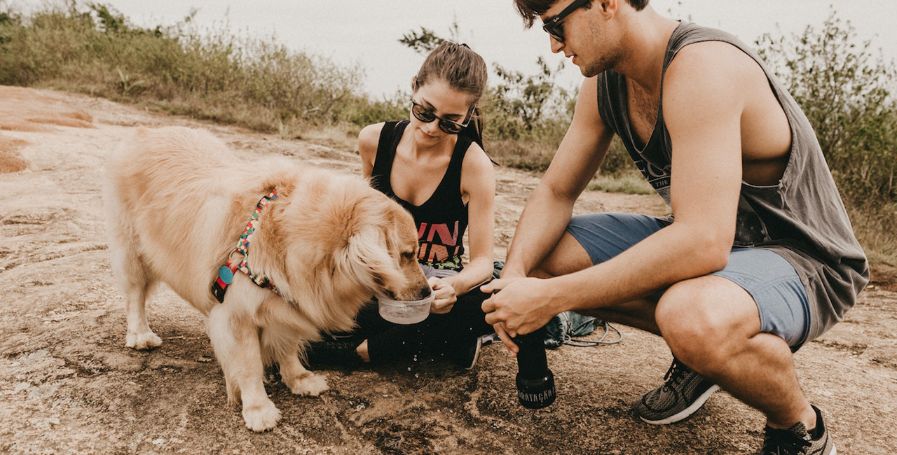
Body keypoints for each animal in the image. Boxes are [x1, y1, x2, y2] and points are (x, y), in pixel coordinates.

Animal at [105, 126, 428, 432]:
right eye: (407, 254)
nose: (427, 292)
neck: (287, 237)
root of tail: (145, 132)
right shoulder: (237, 316)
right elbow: (249, 366)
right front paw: (258, 408)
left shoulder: (287, 302)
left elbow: (287, 347)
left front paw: (298, 378)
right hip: (133, 252)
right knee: (135, 296)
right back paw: (140, 335)